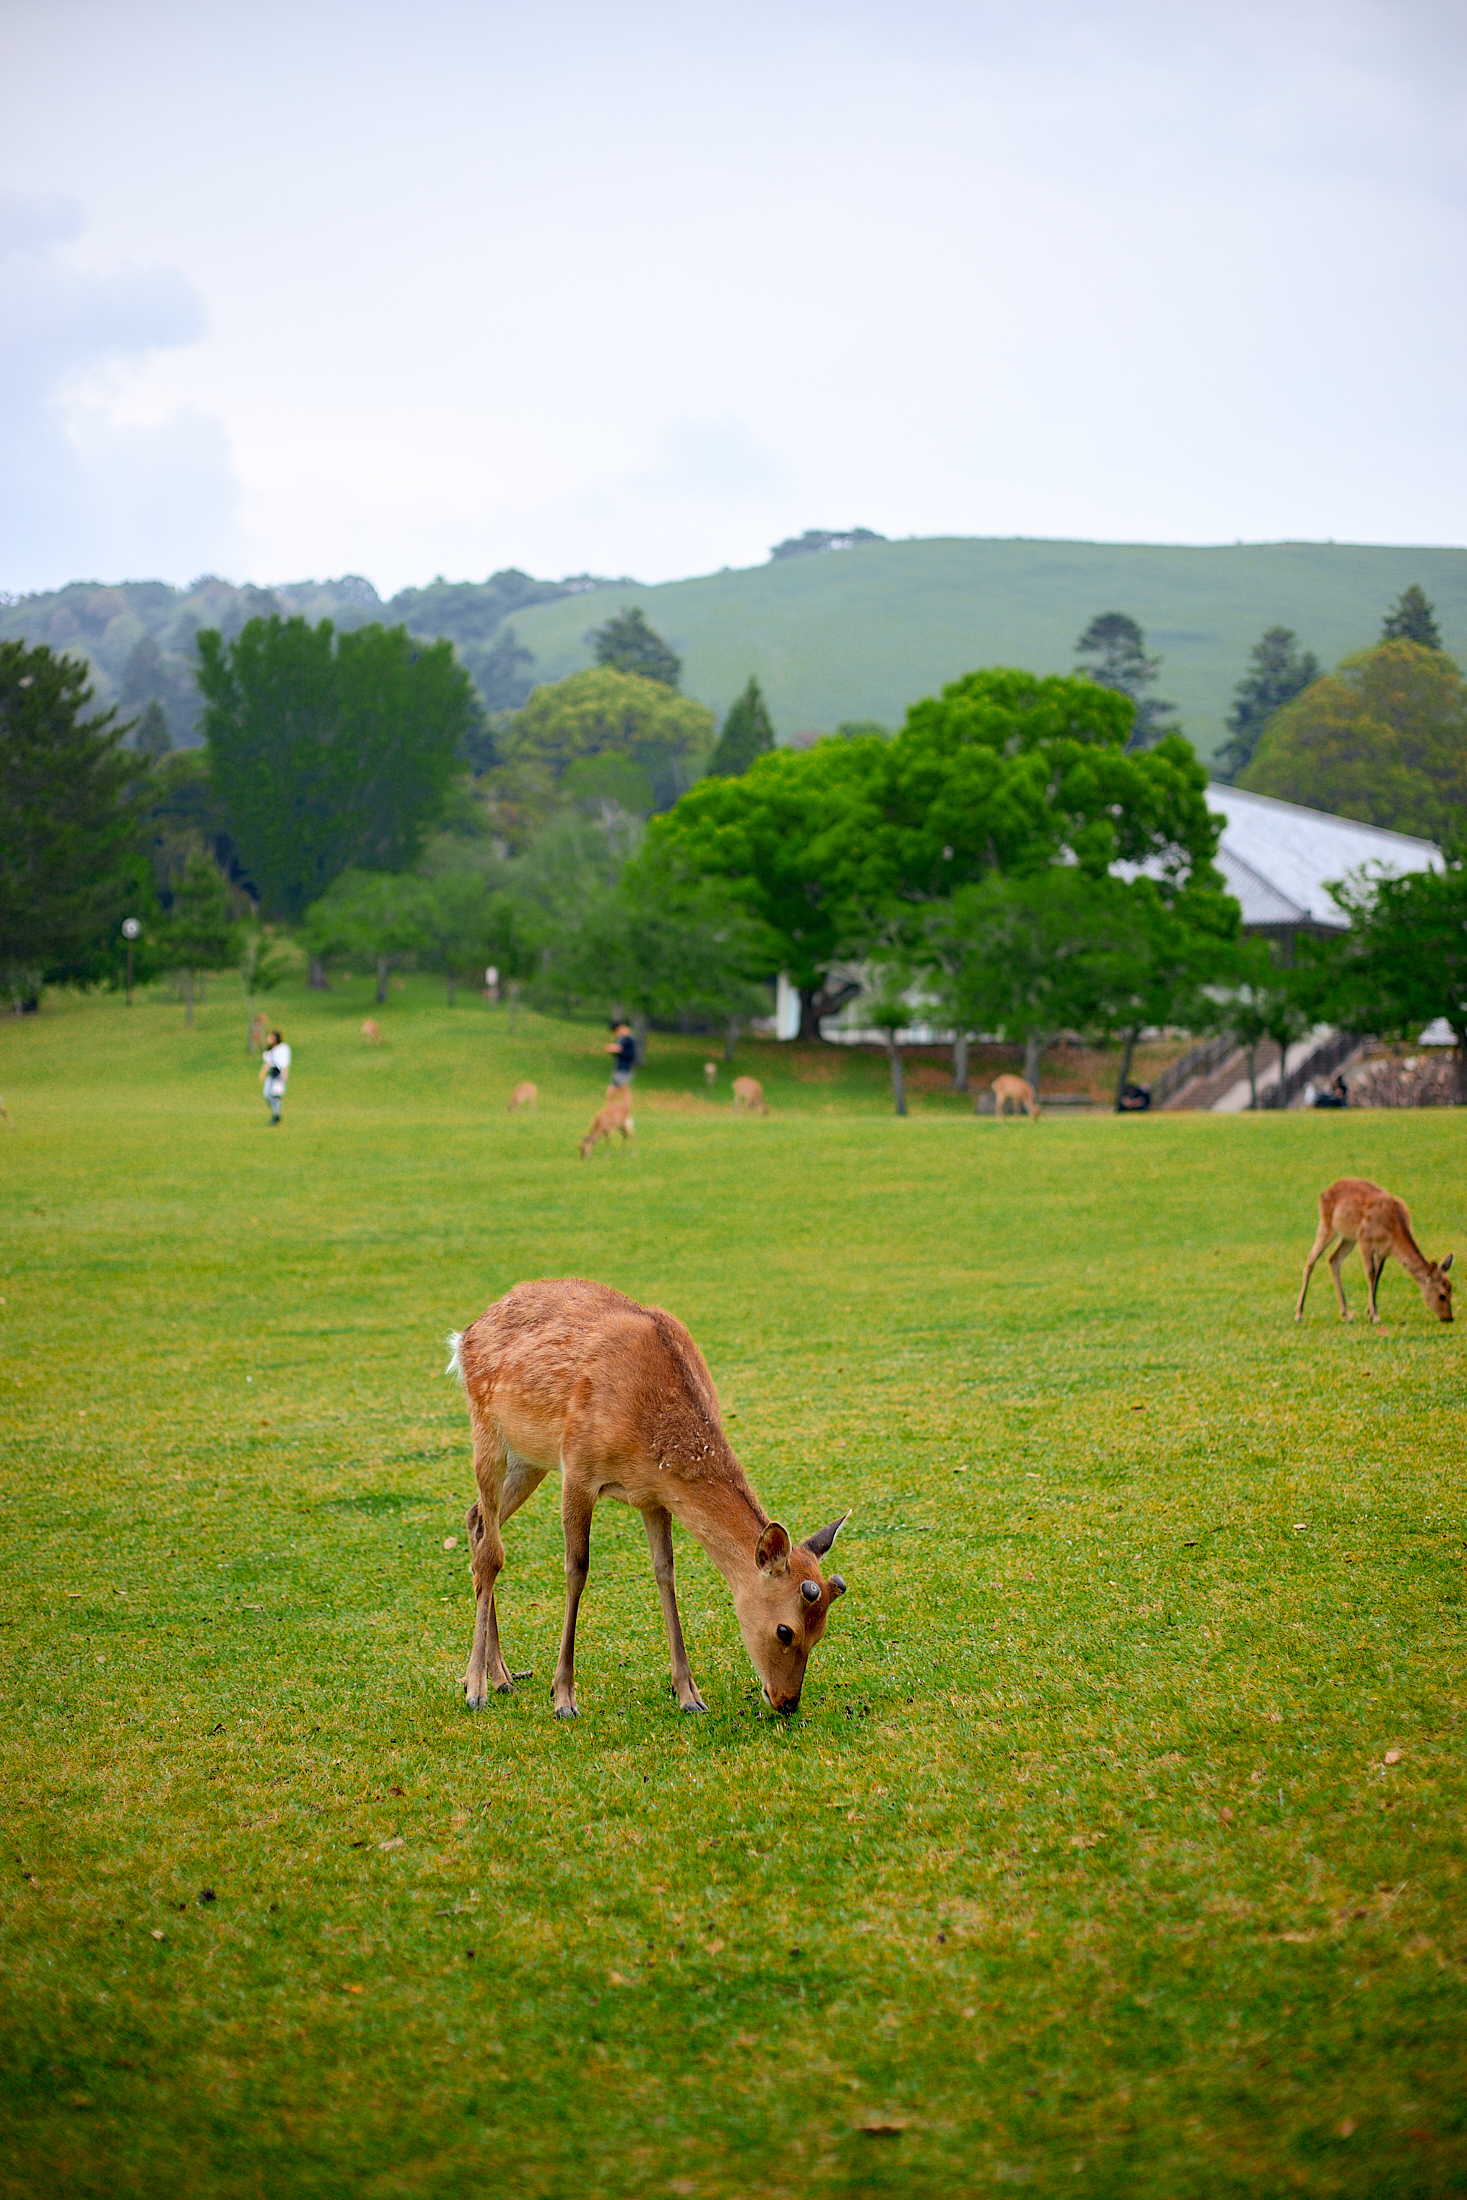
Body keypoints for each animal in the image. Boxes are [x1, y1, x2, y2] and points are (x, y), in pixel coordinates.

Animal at [444, 1276, 848, 1716]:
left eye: (821, 1631)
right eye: (785, 1630)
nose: (787, 1701)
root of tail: (466, 1334)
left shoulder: (655, 1496)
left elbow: (665, 1572)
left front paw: (689, 1694)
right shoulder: (579, 1468)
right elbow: (577, 1570)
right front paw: (564, 1696)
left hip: (530, 1458)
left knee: (475, 1519)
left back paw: (501, 1675)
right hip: (486, 1429)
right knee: (491, 1553)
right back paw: (477, 1686)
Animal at [1293, 1188, 1460, 1320]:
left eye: (1452, 1291)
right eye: (1442, 1295)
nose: (1449, 1318)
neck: (1394, 1229)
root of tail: (1324, 1193)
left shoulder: (1383, 1250)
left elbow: (1377, 1276)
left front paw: (1370, 1311)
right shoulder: (1364, 1238)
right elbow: (1370, 1273)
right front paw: (1374, 1316)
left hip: (1348, 1238)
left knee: (1333, 1259)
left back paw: (1347, 1314)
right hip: (1328, 1226)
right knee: (1311, 1260)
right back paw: (1299, 1314)